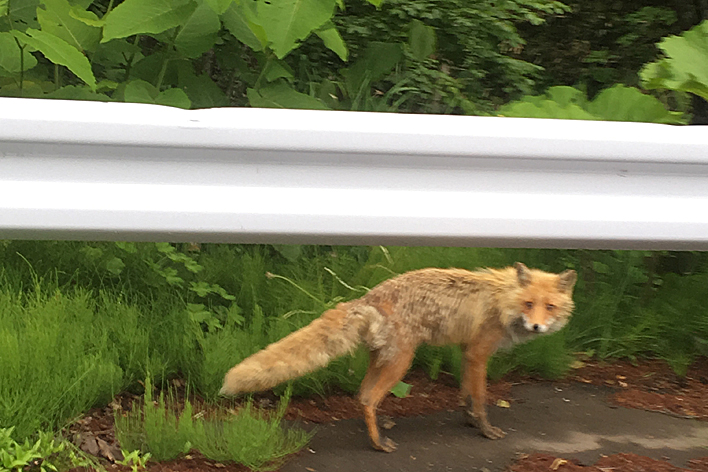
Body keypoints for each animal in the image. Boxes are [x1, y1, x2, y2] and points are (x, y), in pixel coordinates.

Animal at [221, 264, 576, 452]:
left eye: (550, 307)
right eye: (529, 304)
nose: (537, 325)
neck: (502, 300)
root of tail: (367, 298)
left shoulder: (466, 352)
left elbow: (465, 394)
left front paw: (468, 419)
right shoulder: (478, 354)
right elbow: (480, 398)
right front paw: (485, 429)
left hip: (382, 359)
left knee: (362, 395)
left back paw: (378, 429)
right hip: (401, 362)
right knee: (368, 398)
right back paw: (379, 444)